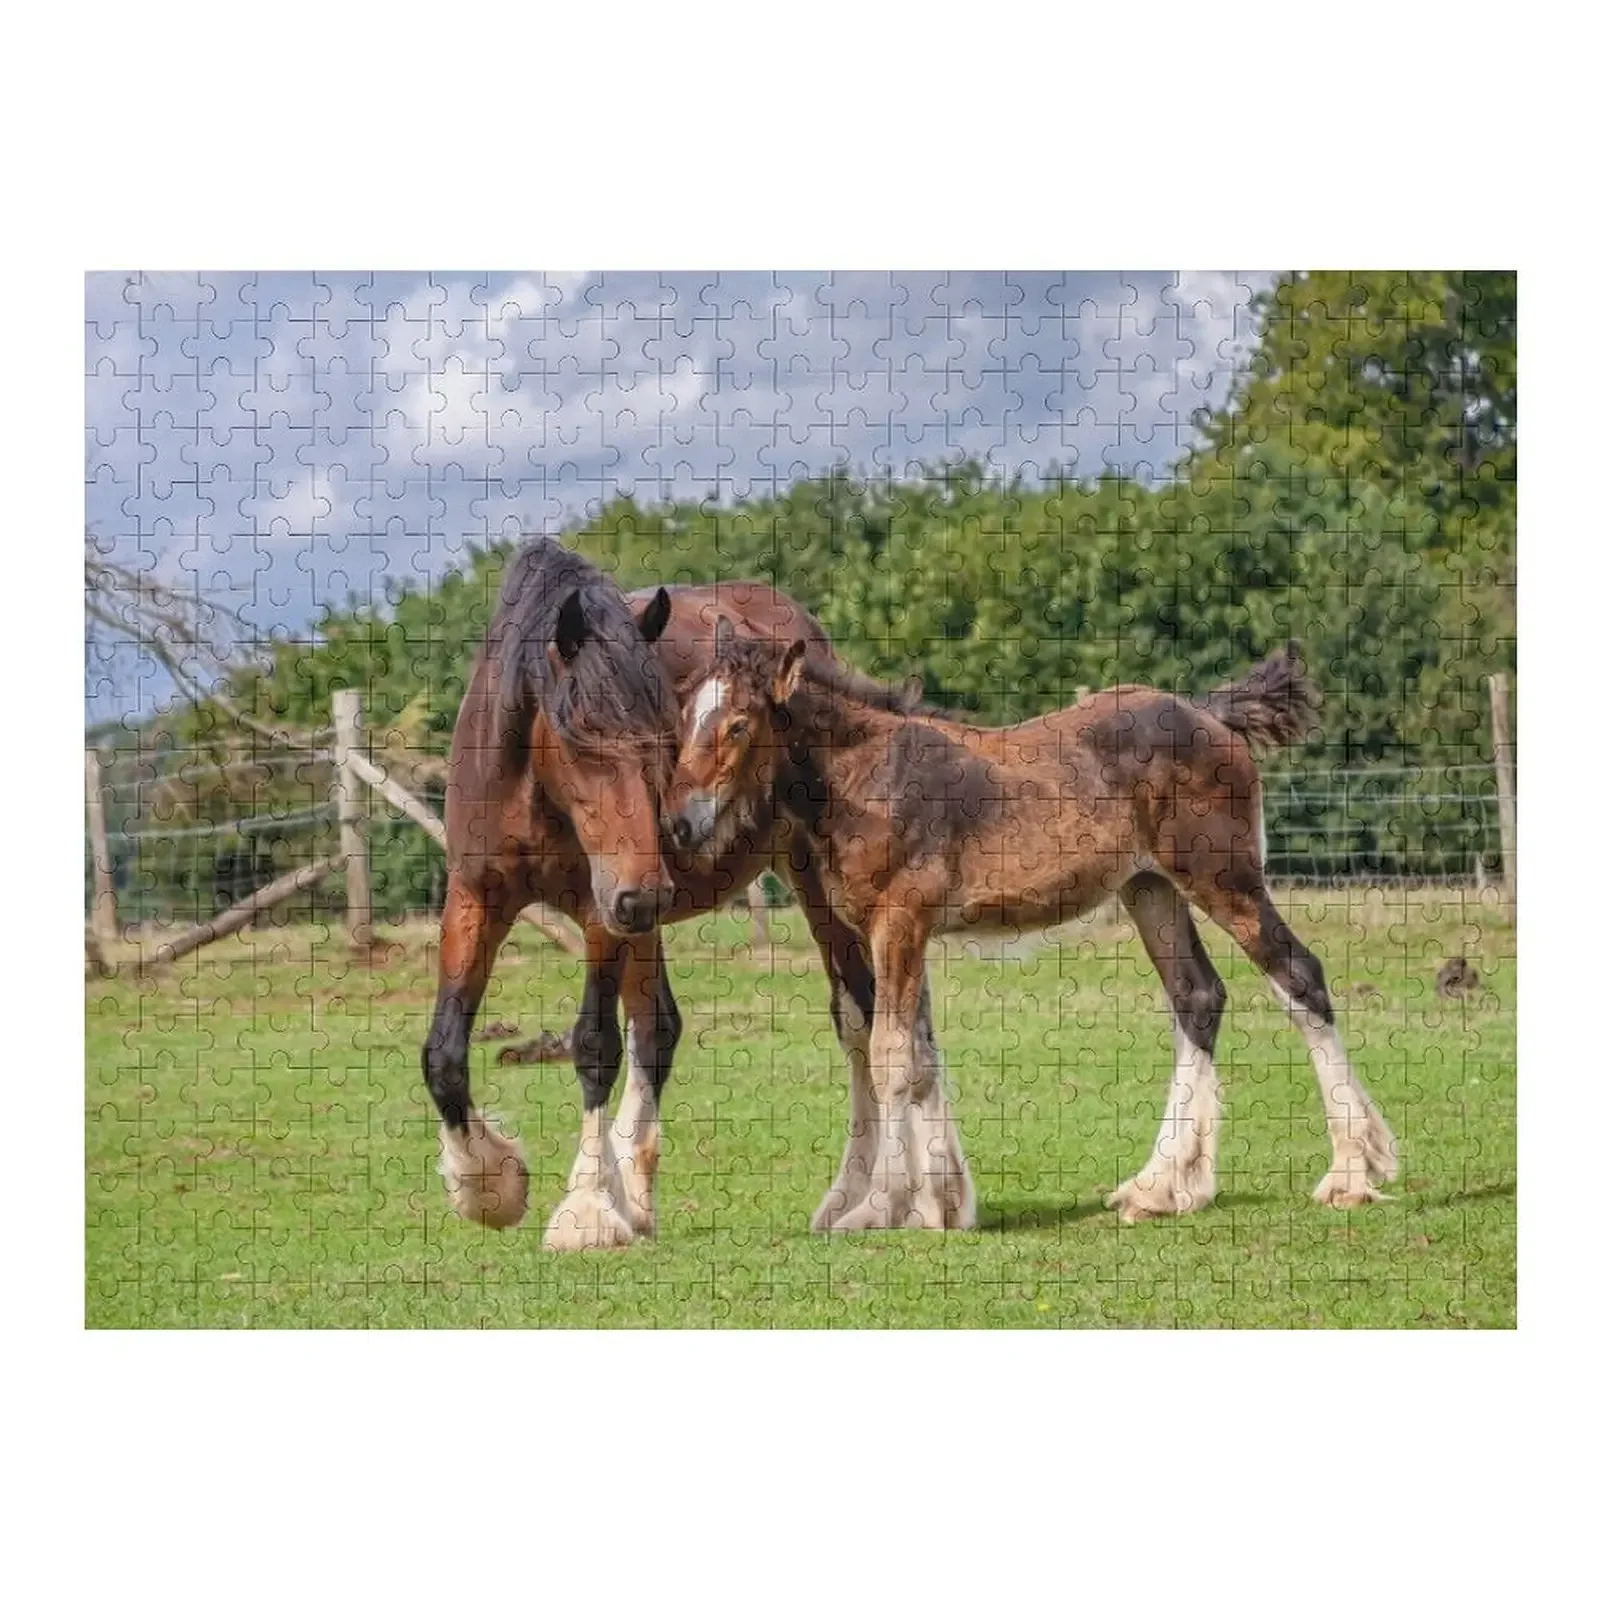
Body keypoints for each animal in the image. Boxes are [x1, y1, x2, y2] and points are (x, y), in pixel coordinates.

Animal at [421, 540, 943, 1249]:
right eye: (580, 736)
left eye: (661, 734)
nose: (645, 890)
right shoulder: (478, 899)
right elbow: (444, 1054)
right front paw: (491, 1189)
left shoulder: (602, 913)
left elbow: (594, 1045)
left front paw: (585, 1211)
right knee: (662, 1029)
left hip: (814, 890)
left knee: (869, 1019)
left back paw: (881, 1195)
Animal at [663, 622, 1399, 1231]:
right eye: (687, 715)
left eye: (738, 725)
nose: (679, 824)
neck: (869, 776)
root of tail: (1210, 715)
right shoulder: (884, 932)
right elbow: (911, 1053)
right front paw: (926, 1205)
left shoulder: (900, 922)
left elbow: (891, 1054)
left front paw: (879, 1208)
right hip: (1151, 890)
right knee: (1198, 996)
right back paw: (1159, 1188)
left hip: (1225, 878)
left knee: (1298, 975)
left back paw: (1350, 1174)